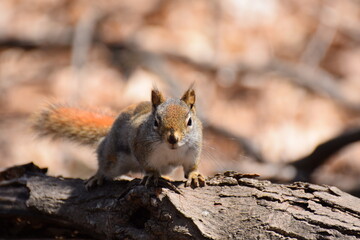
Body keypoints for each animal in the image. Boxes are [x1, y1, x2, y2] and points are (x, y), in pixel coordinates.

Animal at [32, 86, 207, 189]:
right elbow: (148, 166)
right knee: (105, 163)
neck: (171, 151)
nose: (172, 139)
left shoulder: (193, 151)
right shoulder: (138, 143)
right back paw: (98, 176)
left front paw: (194, 175)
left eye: (190, 121)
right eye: (156, 122)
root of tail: (109, 132)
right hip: (113, 157)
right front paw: (151, 175)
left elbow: (190, 167)